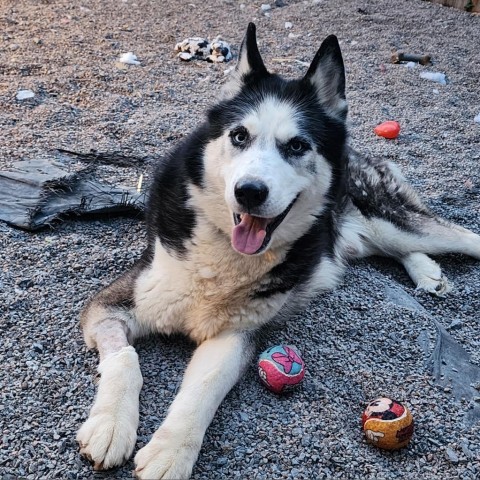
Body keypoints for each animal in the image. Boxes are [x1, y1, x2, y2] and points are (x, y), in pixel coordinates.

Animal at [77, 23, 478, 480]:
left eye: (298, 145)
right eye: (239, 136)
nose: (249, 192)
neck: (223, 256)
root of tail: (357, 153)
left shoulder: (235, 335)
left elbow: (202, 390)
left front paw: (170, 451)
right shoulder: (114, 303)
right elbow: (125, 359)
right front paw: (110, 426)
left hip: (399, 222)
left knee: (457, 234)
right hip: (375, 236)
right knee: (396, 248)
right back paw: (429, 273)